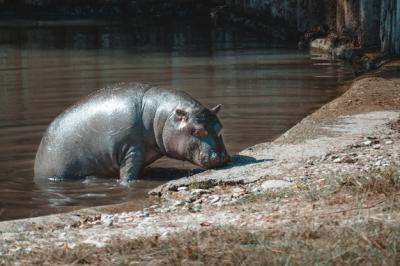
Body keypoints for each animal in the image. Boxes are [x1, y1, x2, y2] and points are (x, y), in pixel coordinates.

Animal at [35, 82, 228, 183]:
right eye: (196, 130)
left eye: (220, 127)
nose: (222, 157)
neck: (161, 116)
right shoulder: (131, 148)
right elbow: (128, 174)